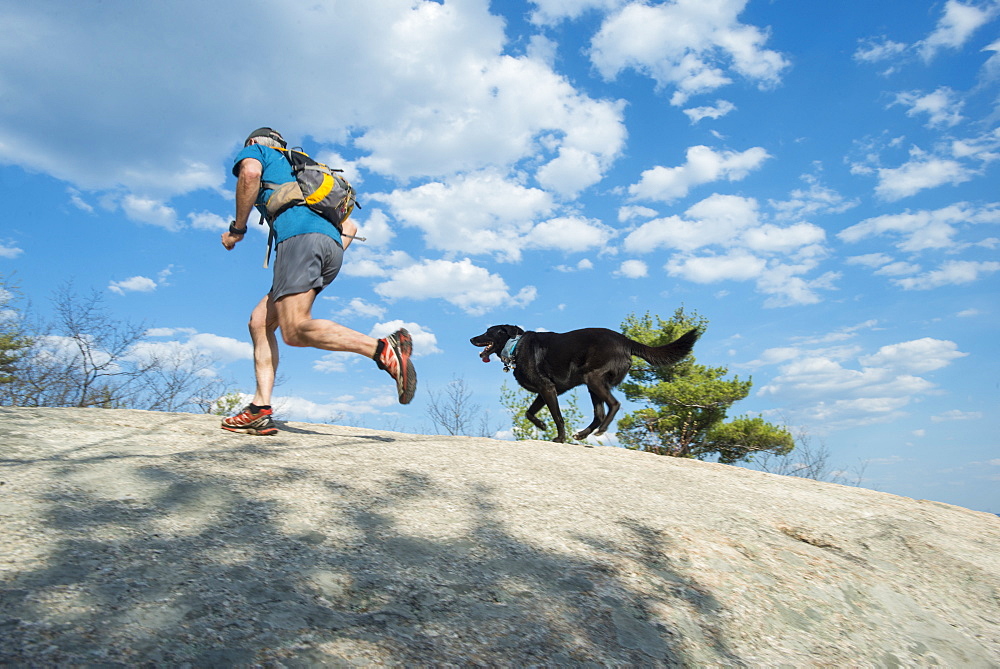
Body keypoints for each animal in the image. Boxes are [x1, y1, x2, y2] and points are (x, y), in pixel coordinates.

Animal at [470, 324, 696, 444]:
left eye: (488, 331)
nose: (471, 338)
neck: (515, 346)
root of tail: (625, 341)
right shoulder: (547, 390)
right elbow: (529, 412)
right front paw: (542, 425)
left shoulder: (548, 389)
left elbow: (558, 417)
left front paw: (559, 438)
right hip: (592, 385)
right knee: (599, 414)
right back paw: (582, 434)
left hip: (593, 379)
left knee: (613, 405)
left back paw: (601, 430)